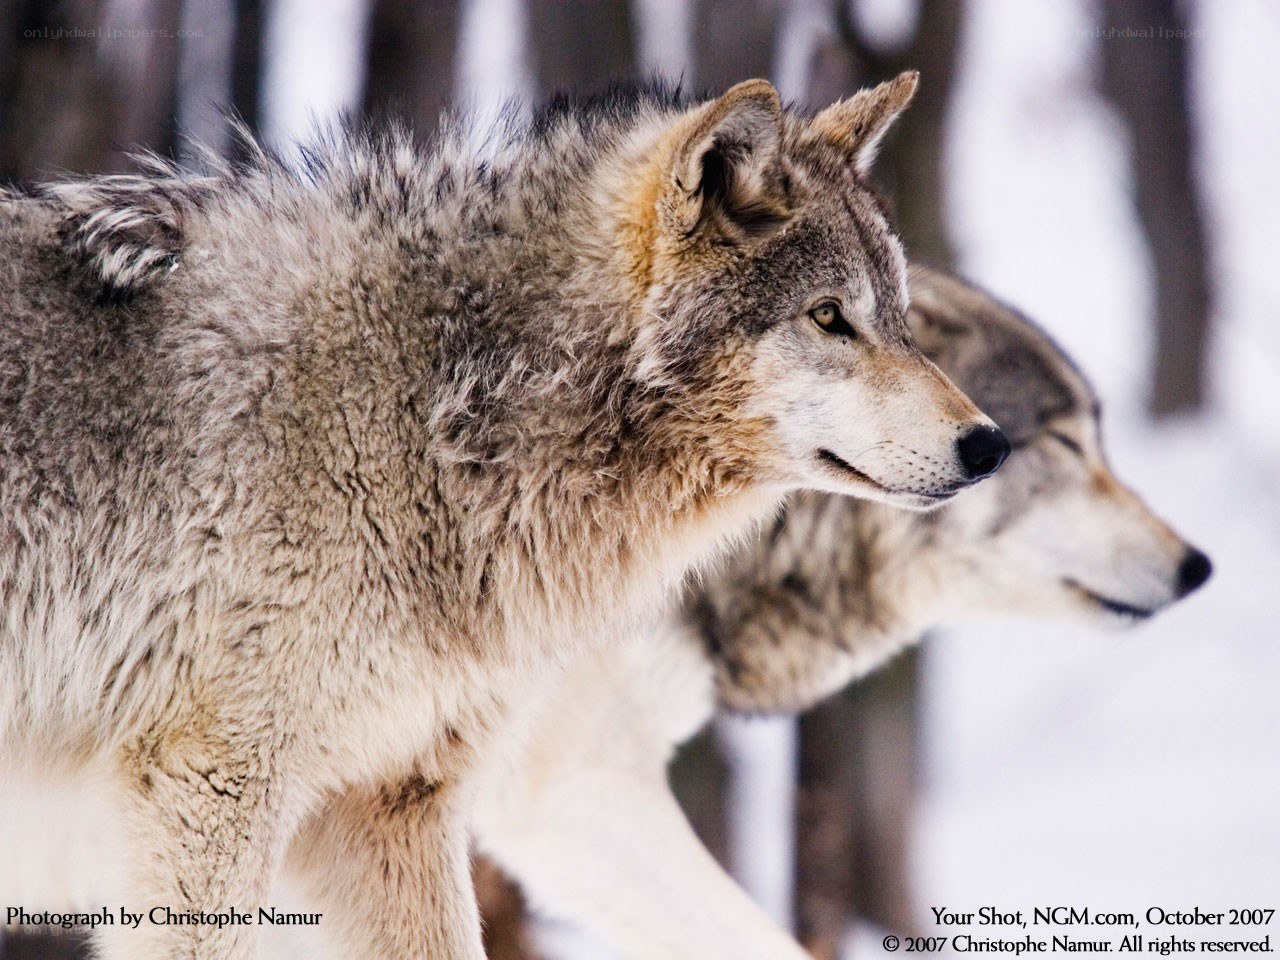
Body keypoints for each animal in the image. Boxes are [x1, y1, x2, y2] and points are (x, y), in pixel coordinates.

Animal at [0, 73, 1010, 959]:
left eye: (900, 319)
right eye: (830, 317)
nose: (990, 446)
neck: (436, 408)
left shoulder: (391, 803)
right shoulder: (208, 783)